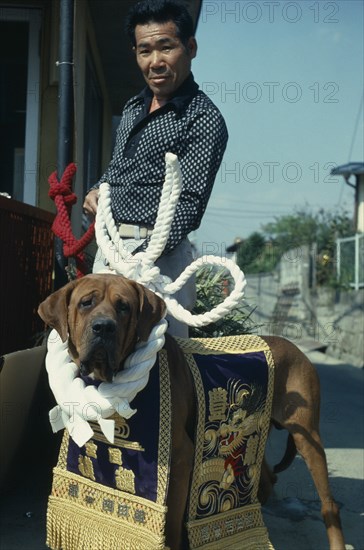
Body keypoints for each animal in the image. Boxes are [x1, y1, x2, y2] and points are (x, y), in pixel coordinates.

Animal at [38, 274, 346, 548]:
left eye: (123, 306)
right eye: (86, 303)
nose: (104, 327)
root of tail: (297, 349)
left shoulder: (181, 459)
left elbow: (173, 523)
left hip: (308, 438)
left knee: (328, 504)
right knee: (267, 478)